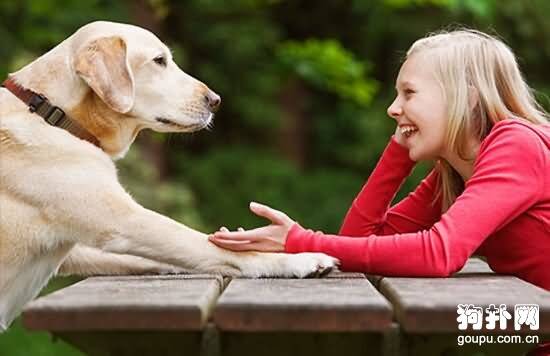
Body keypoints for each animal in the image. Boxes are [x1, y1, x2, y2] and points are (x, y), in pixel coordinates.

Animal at [0, 20, 338, 330]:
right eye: (159, 60)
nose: (216, 100)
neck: (54, 113)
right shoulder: (124, 221)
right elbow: (211, 245)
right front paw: (300, 259)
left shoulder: (76, 250)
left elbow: (155, 257)